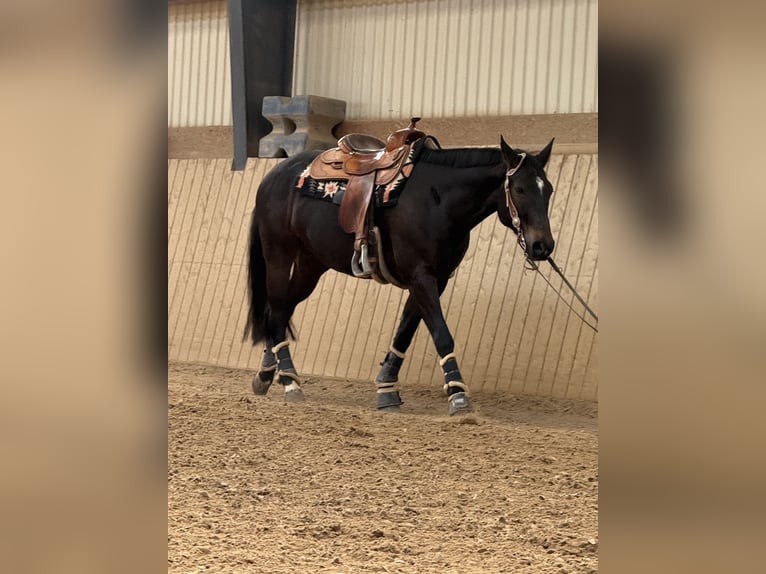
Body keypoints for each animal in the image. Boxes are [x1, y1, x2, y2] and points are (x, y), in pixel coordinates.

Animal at [244, 135, 556, 415]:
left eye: (549, 190)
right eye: (519, 189)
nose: (543, 246)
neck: (436, 200)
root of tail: (273, 175)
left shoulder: (436, 278)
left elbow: (405, 330)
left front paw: (386, 388)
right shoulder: (421, 276)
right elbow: (441, 333)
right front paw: (457, 394)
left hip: (311, 264)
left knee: (281, 309)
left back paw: (266, 373)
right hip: (279, 255)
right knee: (278, 310)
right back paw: (290, 382)